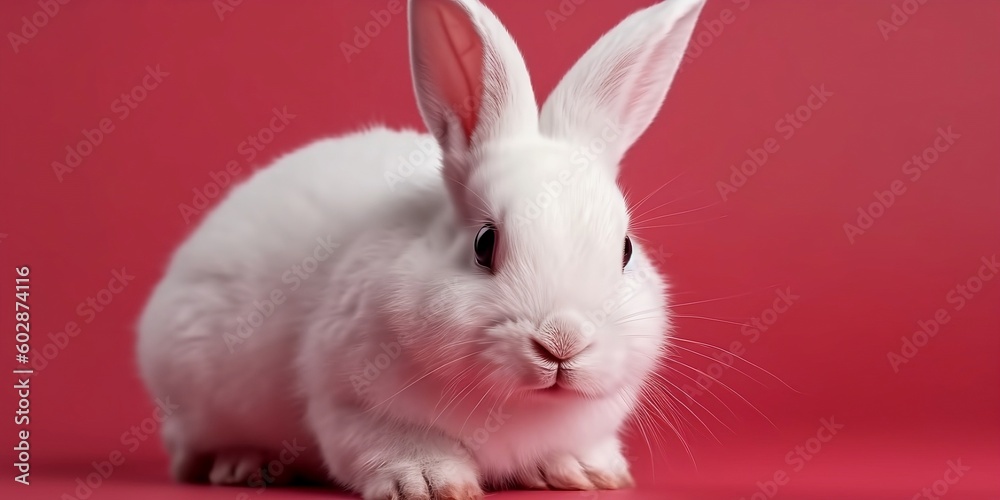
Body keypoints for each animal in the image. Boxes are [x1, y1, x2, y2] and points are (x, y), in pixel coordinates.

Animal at [136, 0, 706, 498]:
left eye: (625, 249)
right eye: (484, 243)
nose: (562, 342)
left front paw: (587, 473)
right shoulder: (352, 405)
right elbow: (395, 448)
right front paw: (430, 485)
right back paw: (244, 465)